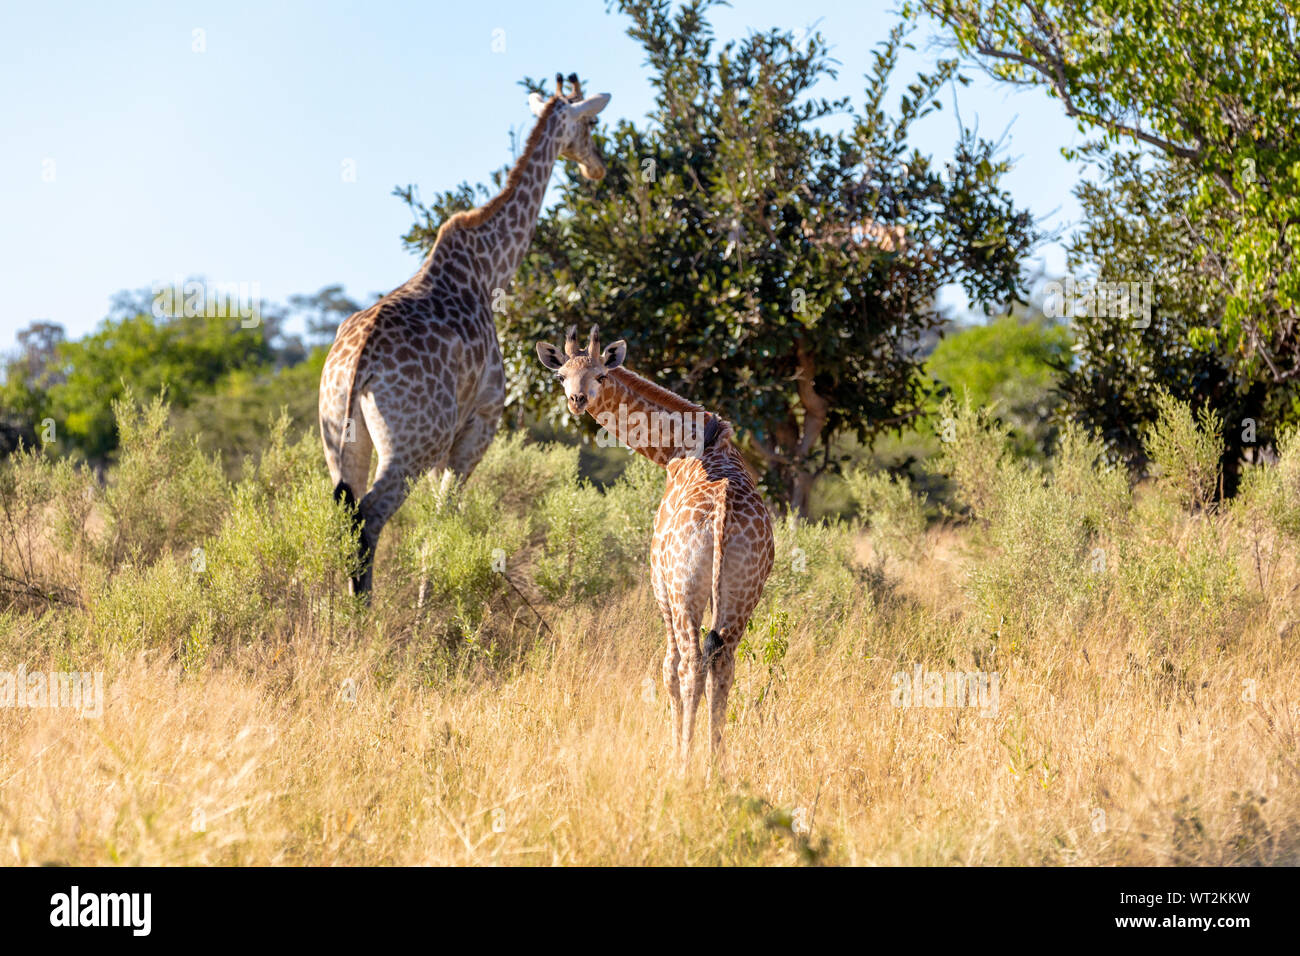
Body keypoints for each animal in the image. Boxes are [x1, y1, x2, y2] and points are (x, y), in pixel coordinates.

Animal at [322, 76, 611, 598]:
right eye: (590, 124)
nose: (596, 166)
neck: (489, 268)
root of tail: (356, 367)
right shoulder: (477, 426)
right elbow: (441, 527)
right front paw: (432, 608)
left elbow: (434, 529)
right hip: (411, 445)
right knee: (370, 517)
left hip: (339, 437)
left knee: (345, 518)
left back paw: (342, 613)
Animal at [535, 325, 769, 764]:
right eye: (561, 376)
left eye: (601, 375)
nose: (577, 400)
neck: (681, 445)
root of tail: (722, 517)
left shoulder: (659, 586)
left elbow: (667, 666)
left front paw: (675, 749)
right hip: (742, 593)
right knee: (723, 663)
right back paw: (715, 765)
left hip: (682, 590)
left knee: (689, 662)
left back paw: (685, 763)